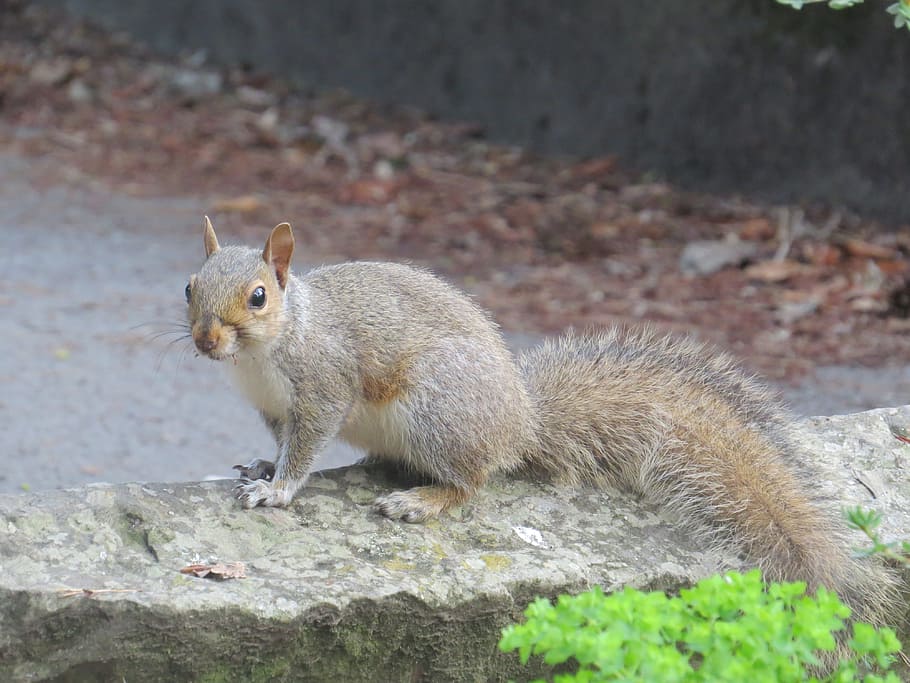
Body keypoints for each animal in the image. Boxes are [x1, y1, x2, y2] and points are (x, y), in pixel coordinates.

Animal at [186, 217, 901, 626]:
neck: (266, 351)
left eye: (258, 296)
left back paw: (422, 499)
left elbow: (307, 446)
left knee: (471, 482)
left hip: (435, 411)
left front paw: (279, 488)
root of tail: (521, 424)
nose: (204, 341)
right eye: (189, 287)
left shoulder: (324, 387)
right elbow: (283, 441)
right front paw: (263, 466)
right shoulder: (273, 407)